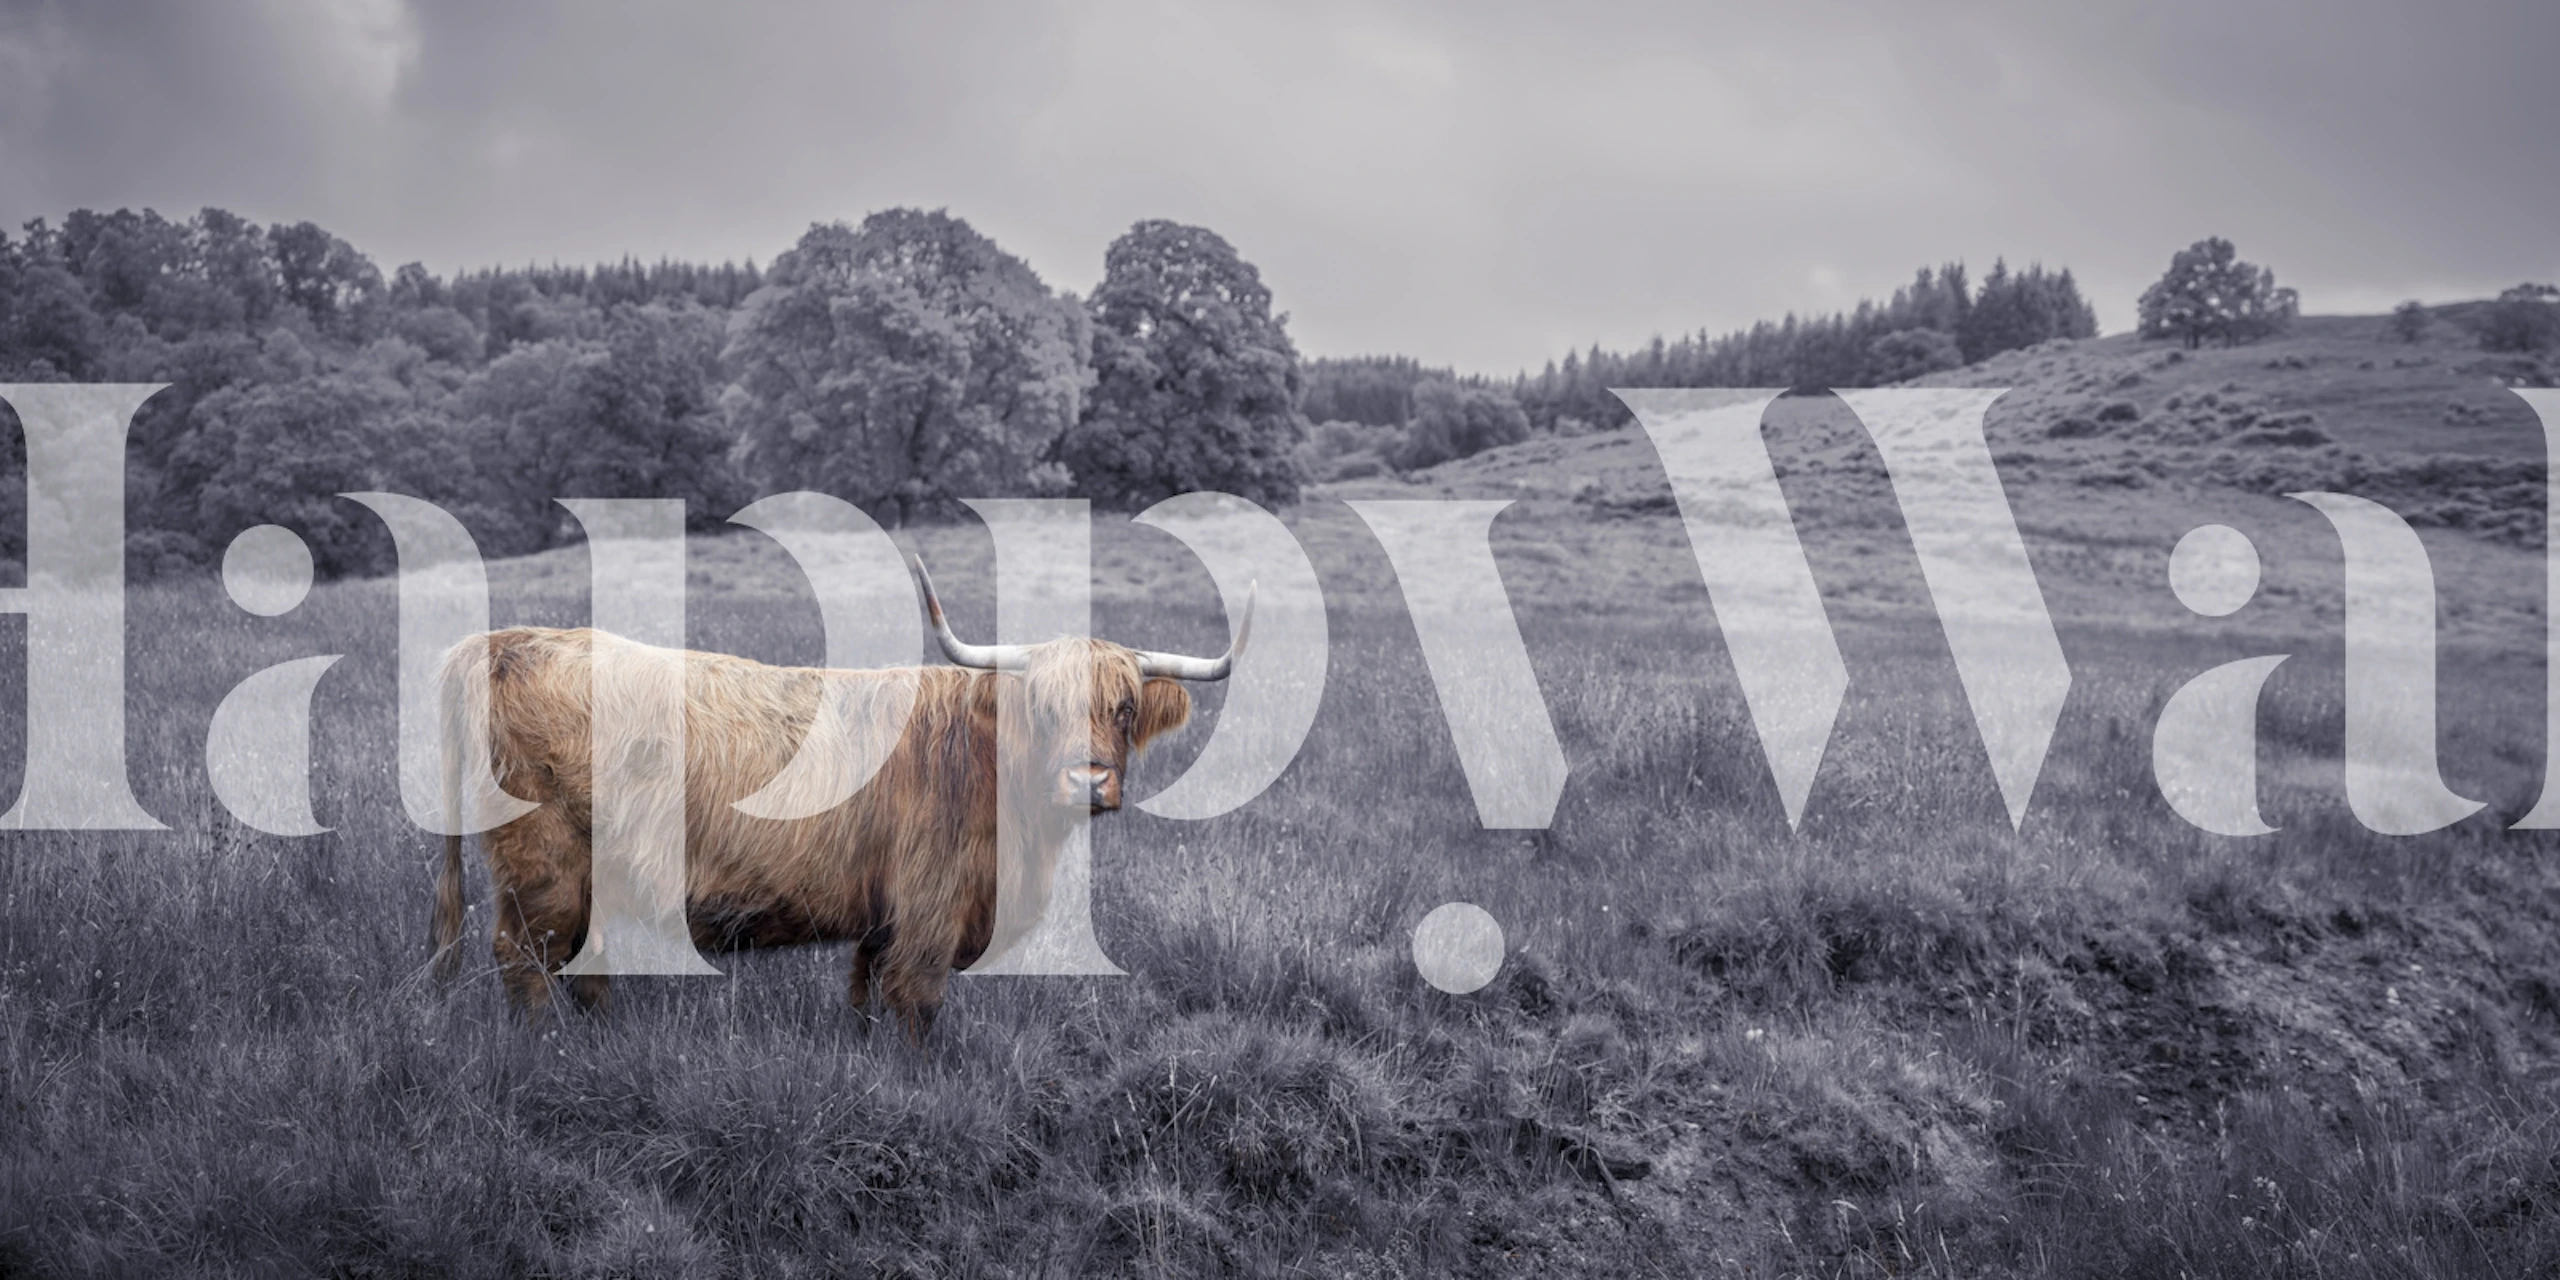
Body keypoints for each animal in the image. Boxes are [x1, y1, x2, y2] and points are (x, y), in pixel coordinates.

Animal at [431, 556, 1248, 1040]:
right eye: (1043, 709)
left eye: (1124, 709)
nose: (1088, 780)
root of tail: (503, 641)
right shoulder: (928, 908)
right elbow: (917, 1003)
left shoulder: (882, 914)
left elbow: (864, 990)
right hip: (544, 862)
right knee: (525, 956)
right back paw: (548, 1049)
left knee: (582, 959)